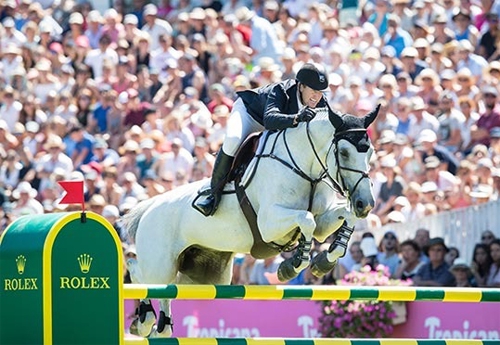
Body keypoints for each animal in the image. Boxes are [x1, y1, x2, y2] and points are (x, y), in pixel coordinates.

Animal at [124, 105, 378, 336]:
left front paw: (324, 260)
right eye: (344, 152)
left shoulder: (323, 223)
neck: (305, 168)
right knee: (139, 273)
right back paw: (145, 319)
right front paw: (292, 264)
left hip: (201, 278)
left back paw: (160, 325)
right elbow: (306, 220)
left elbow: (339, 219)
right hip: (160, 263)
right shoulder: (269, 224)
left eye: (371, 153)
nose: (365, 204)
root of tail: (148, 208)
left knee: (166, 290)